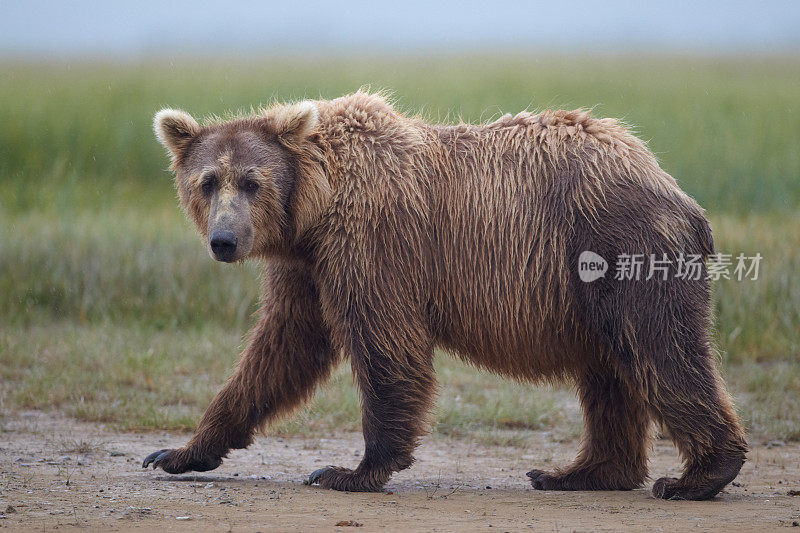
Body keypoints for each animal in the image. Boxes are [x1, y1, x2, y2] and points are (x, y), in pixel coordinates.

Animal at [145, 90, 752, 498]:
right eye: (207, 181)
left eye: (252, 181)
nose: (225, 240)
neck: (316, 206)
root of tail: (674, 188)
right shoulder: (306, 269)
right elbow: (280, 350)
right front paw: (179, 451)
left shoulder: (373, 244)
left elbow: (385, 344)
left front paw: (350, 470)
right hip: (591, 285)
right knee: (610, 372)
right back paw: (580, 472)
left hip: (618, 248)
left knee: (660, 349)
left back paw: (697, 475)